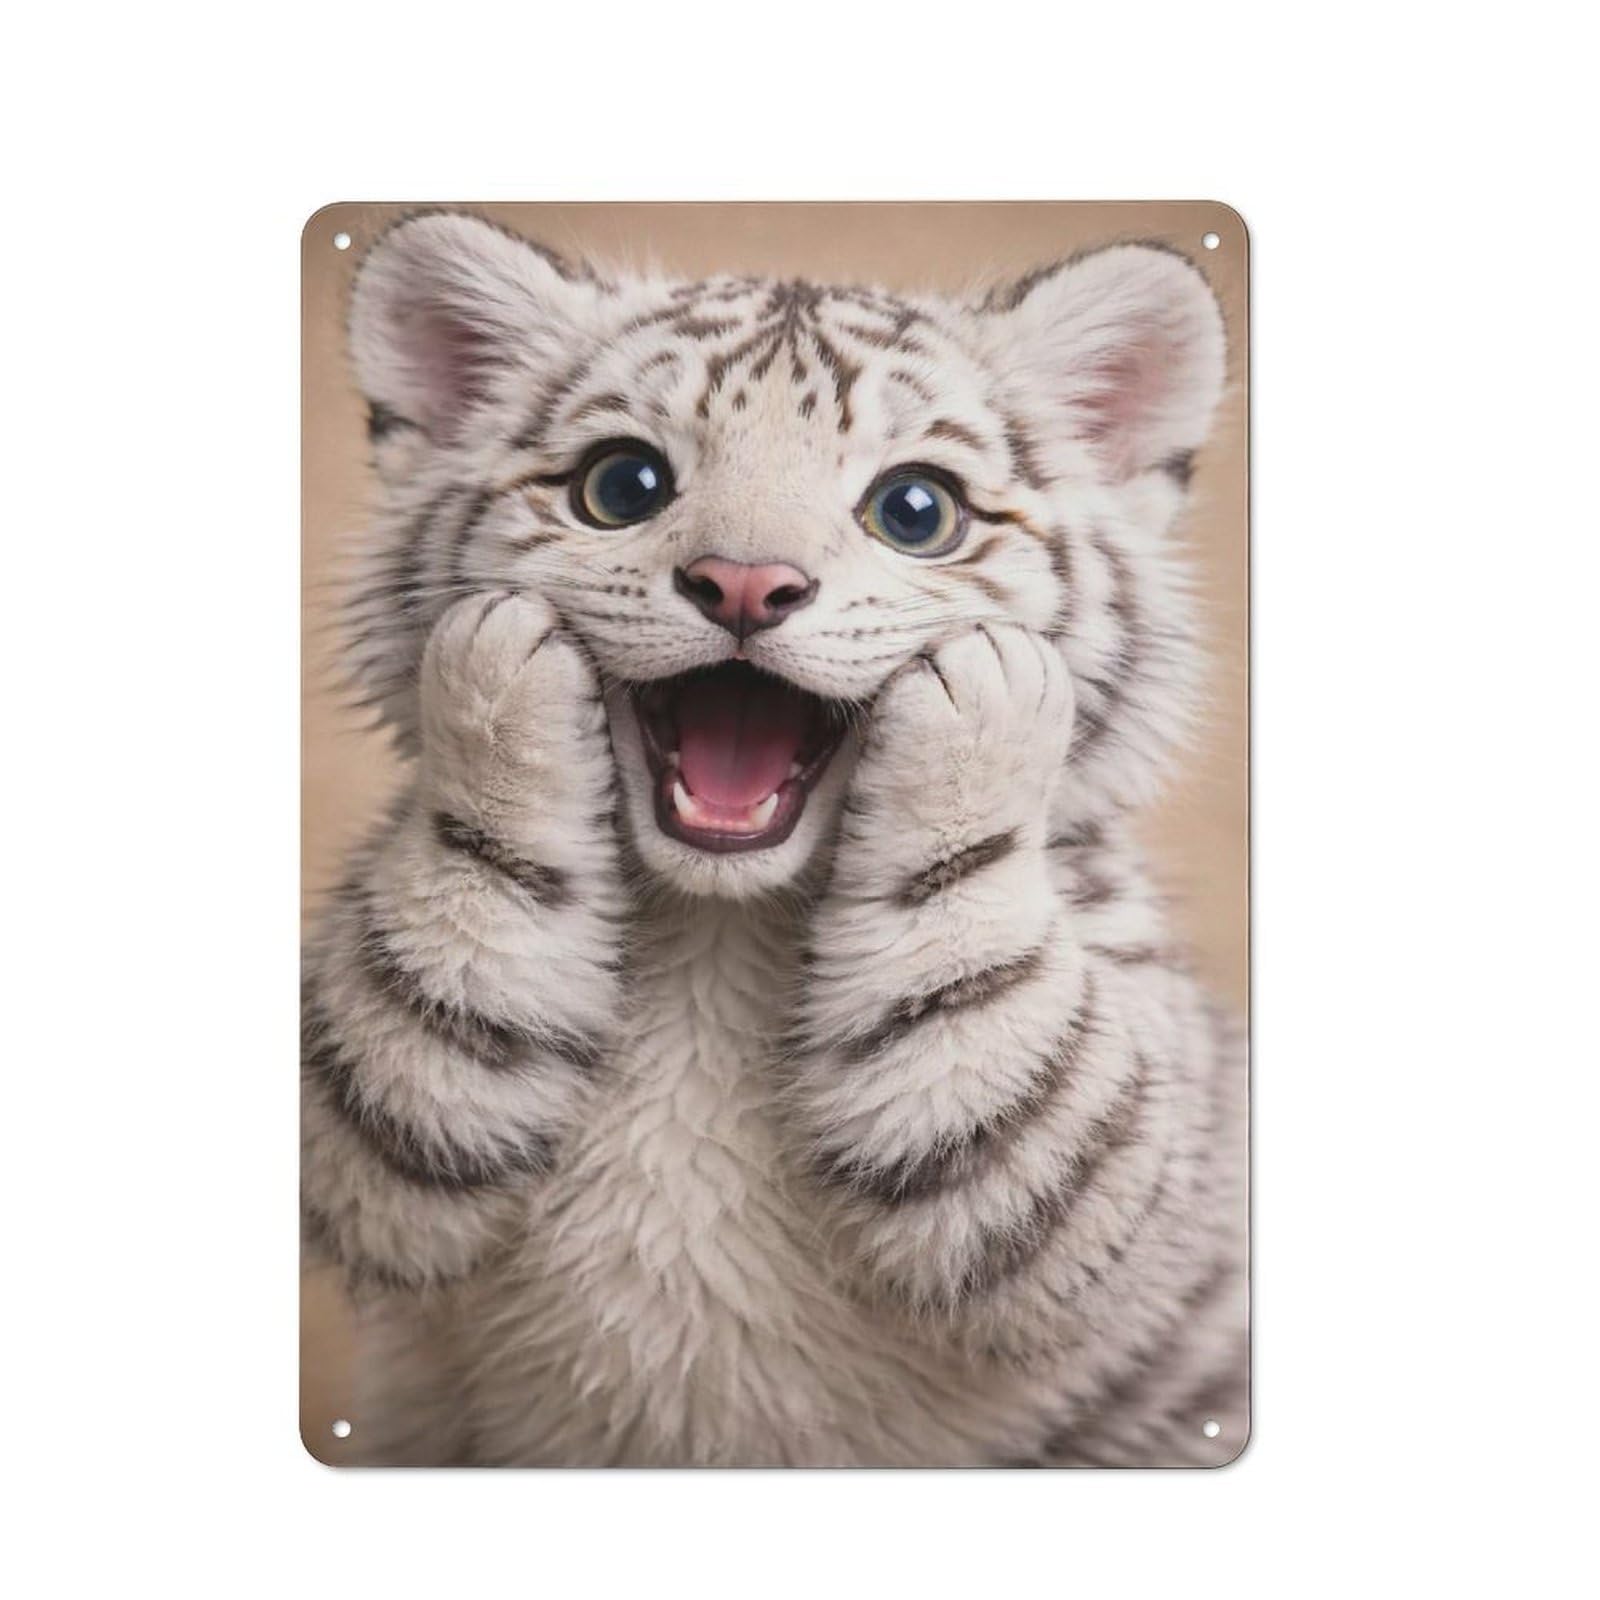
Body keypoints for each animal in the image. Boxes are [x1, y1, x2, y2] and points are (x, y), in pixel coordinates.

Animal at [302, 209, 1248, 1466]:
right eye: (623, 484)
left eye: (915, 509)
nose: (744, 584)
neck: (718, 931)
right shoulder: (363, 1125)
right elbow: (430, 980)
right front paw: (500, 658)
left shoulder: (1112, 1178)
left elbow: (992, 1028)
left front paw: (989, 694)